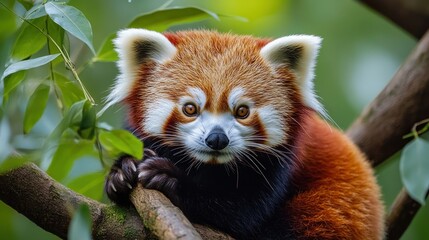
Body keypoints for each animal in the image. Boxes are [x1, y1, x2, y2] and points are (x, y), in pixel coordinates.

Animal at [104, 29, 384, 239]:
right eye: (190, 108)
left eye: (242, 111)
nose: (217, 139)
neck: (210, 166)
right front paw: (121, 172)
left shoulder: (278, 165)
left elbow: (241, 213)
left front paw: (170, 178)